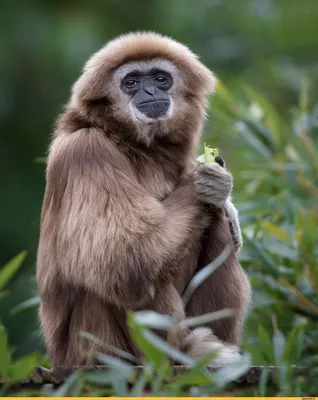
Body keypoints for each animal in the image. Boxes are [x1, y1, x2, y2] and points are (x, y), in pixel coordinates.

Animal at [36, 32, 251, 368]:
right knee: (134, 269)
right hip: (94, 351)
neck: (131, 143)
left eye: (161, 79)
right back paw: (179, 355)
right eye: (131, 82)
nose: (149, 90)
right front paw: (206, 182)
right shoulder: (85, 151)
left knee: (212, 222)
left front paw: (225, 201)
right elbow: (123, 256)